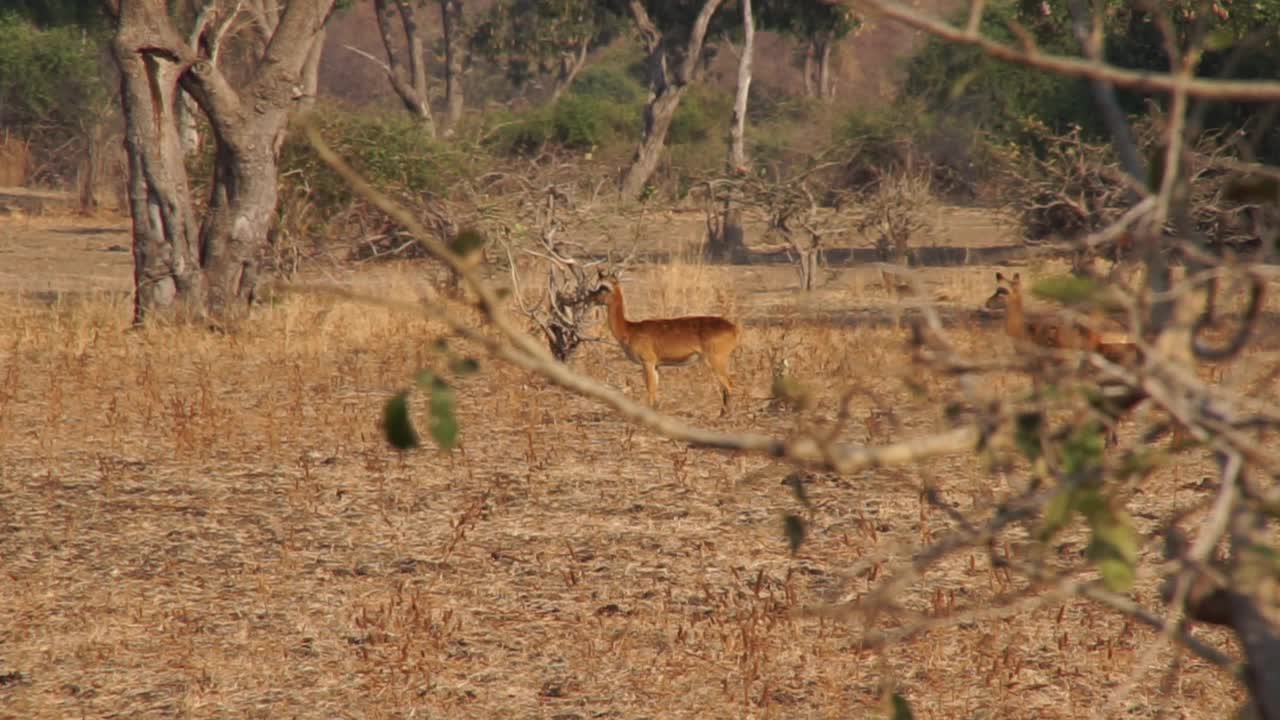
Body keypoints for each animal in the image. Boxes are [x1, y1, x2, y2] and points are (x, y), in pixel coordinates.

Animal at [588, 272, 742, 415]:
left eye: (604, 287)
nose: (590, 297)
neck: (629, 329)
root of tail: (733, 327)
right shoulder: (656, 365)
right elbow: (656, 392)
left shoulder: (647, 362)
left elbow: (650, 390)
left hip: (716, 361)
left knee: (729, 385)